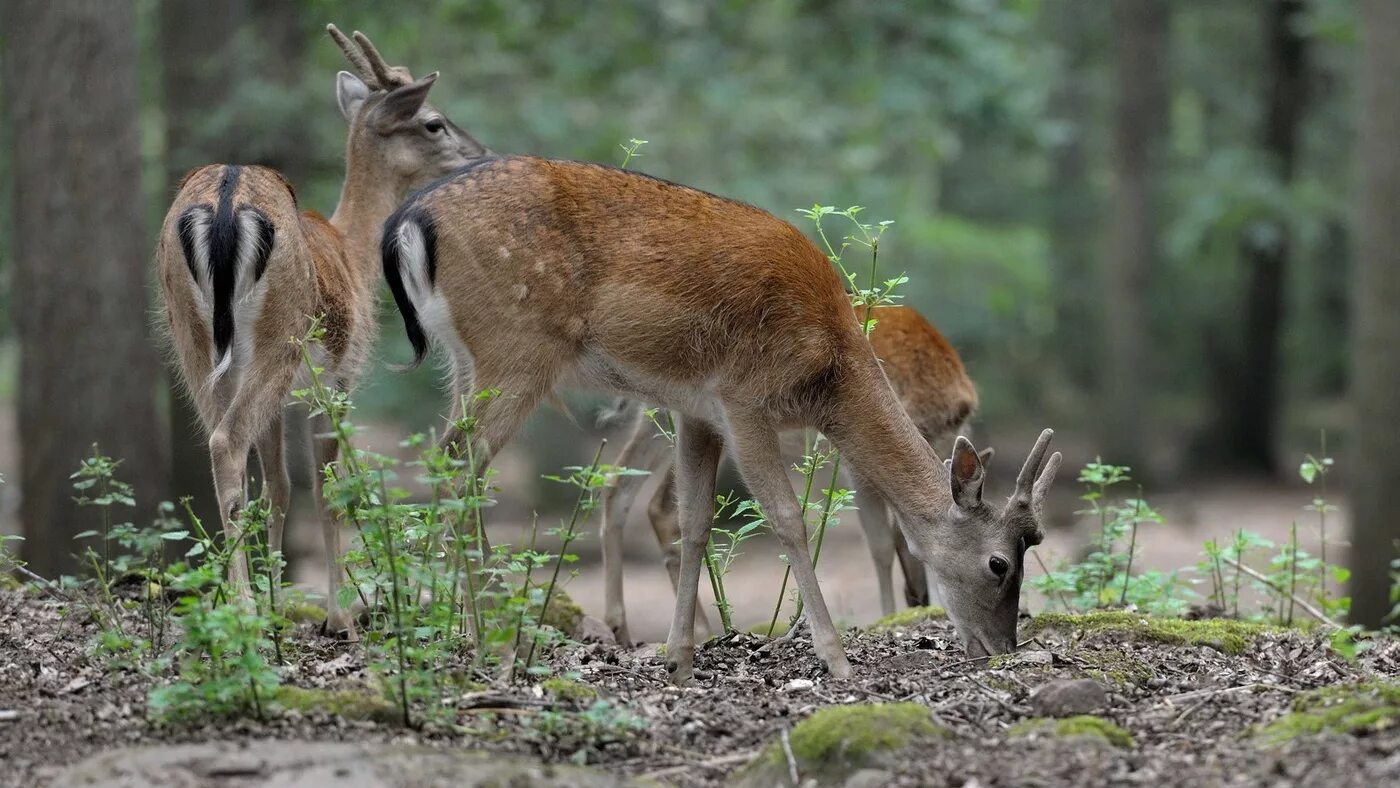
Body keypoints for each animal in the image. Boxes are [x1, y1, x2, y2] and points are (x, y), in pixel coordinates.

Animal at [154, 26, 487, 641]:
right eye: (434, 122)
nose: (480, 155)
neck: (352, 252)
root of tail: (224, 204)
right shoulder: (337, 378)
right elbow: (330, 492)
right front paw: (339, 616)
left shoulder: (284, 400)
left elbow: (281, 488)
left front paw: (278, 604)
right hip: (280, 337)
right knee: (226, 441)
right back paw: (241, 608)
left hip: (194, 341)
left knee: (221, 445)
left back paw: (234, 605)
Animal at [599, 305, 985, 643]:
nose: (917, 599)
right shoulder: (855, 463)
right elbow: (880, 544)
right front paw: (888, 617)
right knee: (659, 504)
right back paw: (698, 631)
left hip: (660, 413)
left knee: (619, 487)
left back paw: (626, 628)